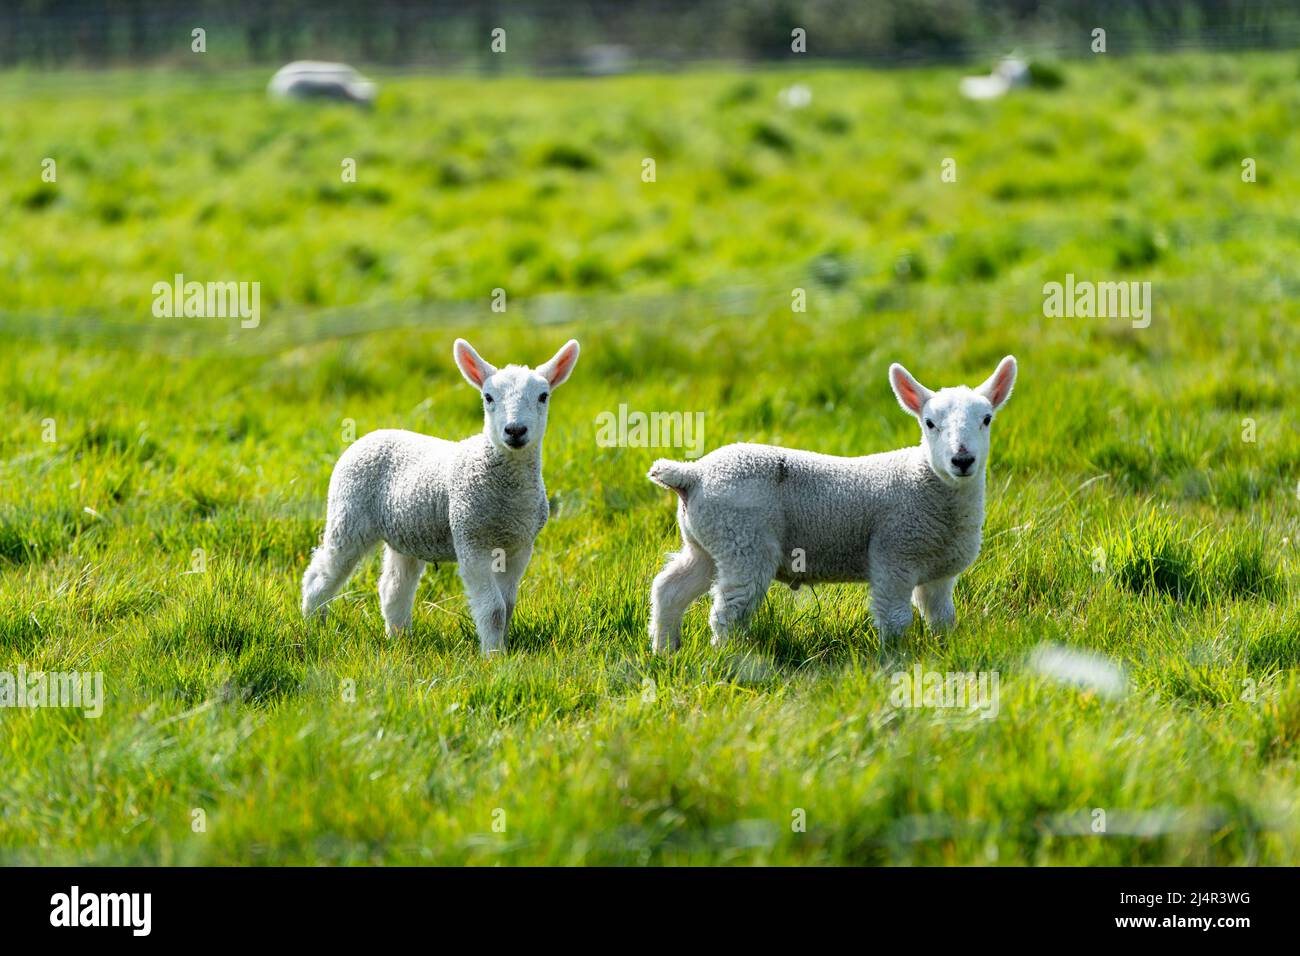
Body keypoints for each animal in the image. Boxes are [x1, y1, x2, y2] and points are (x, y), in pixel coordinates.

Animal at [301, 338, 582, 658]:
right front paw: (493, 657)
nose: (515, 430)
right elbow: (493, 609)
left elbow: (508, 606)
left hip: (406, 531)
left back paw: (399, 640)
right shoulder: (471, 539)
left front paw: (502, 648)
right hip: (348, 514)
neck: (508, 494)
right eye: (488, 397)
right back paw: (314, 626)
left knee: (393, 587)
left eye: (543, 396)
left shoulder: (519, 547)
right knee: (322, 572)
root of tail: (368, 436)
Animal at [644, 356, 1019, 655]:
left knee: (669, 589)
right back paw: (728, 657)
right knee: (728, 611)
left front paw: (943, 649)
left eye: (987, 419)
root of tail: (693, 474)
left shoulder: (937, 572)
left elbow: (942, 618)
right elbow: (895, 618)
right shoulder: (893, 556)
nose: (962, 460)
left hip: (707, 542)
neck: (928, 482)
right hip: (743, 541)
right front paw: (894, 657)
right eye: (929, 423)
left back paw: (665, 650)